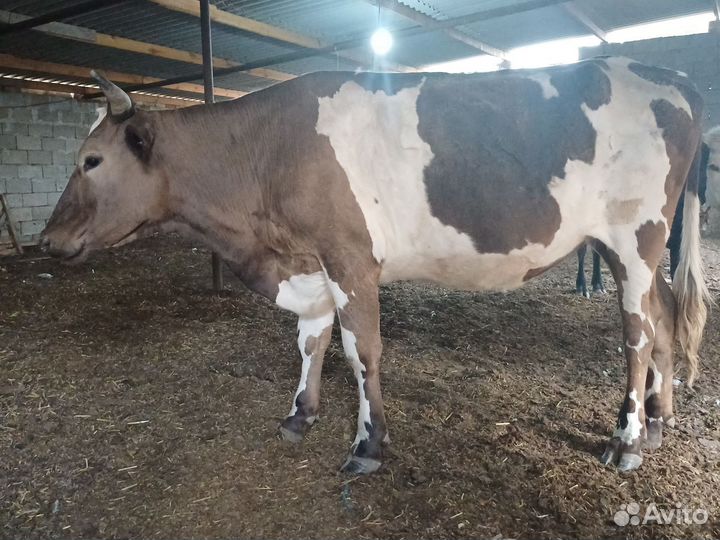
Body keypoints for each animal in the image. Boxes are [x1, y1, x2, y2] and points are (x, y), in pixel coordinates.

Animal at [40, 57, 710, 474]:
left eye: (91, 160)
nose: (47, 239)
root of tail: (675, 79)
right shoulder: (307, 263)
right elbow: (310, 341)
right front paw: (300, 415)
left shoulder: (349, 257)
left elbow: (360, 350)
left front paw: (369, 443)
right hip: (631, 250)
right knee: (664, 318)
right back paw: (659, 421)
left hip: (635, 237)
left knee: (637, 335)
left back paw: (627, 440)